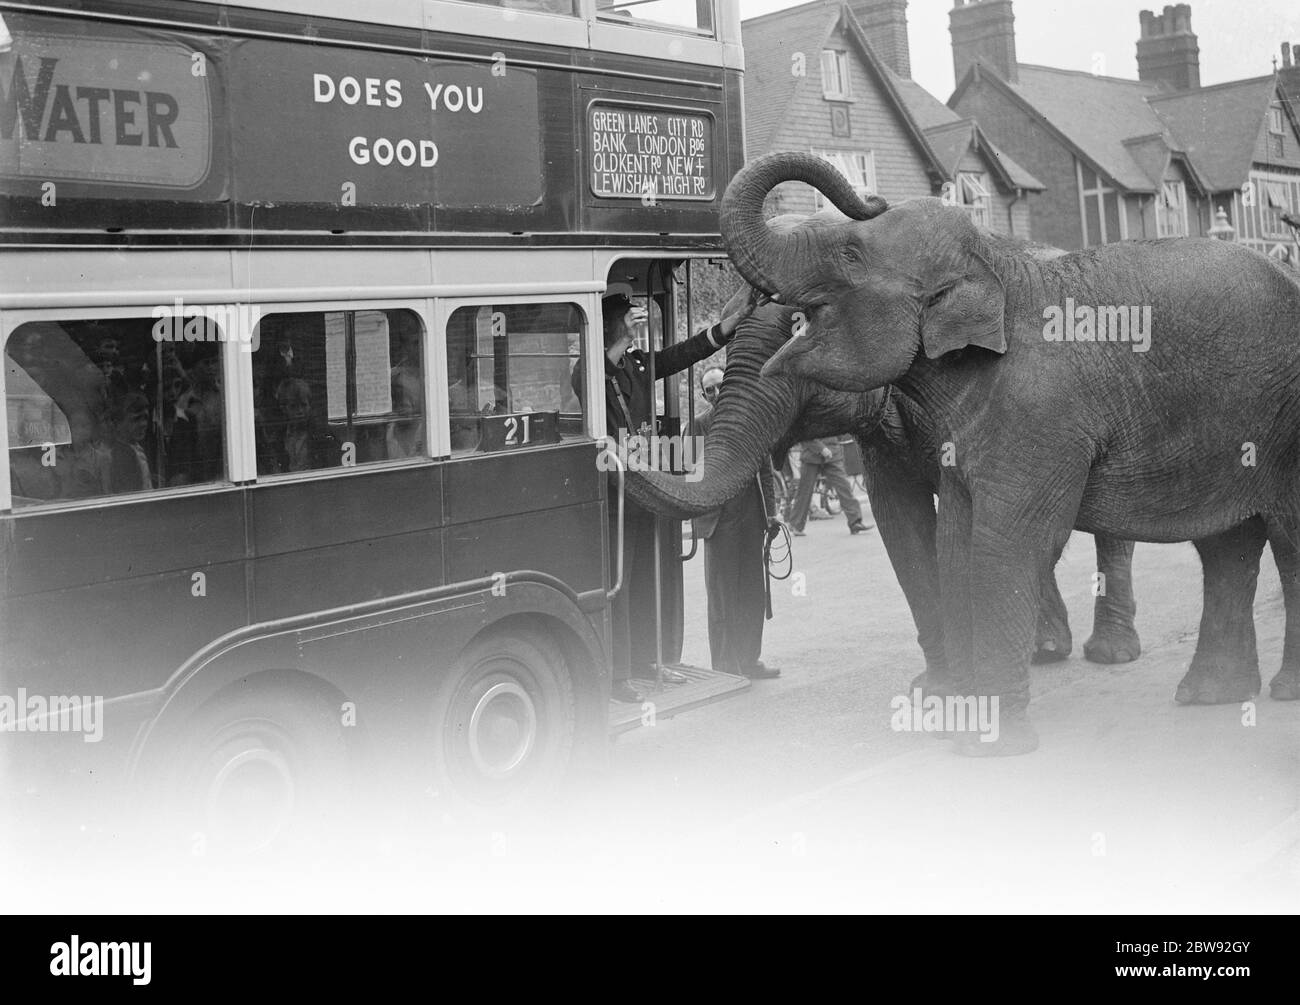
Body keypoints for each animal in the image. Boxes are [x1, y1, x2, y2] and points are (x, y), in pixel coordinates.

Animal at [717, 152, 1300, 759]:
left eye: (850, 254)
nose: (871, 197)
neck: (994, 264)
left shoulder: (1040, 411)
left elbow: (1007, 540)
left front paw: (986, 744)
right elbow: (947, 540)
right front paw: (951, 712)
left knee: (1281, 537)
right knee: (1227, 544)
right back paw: (1209, 694)